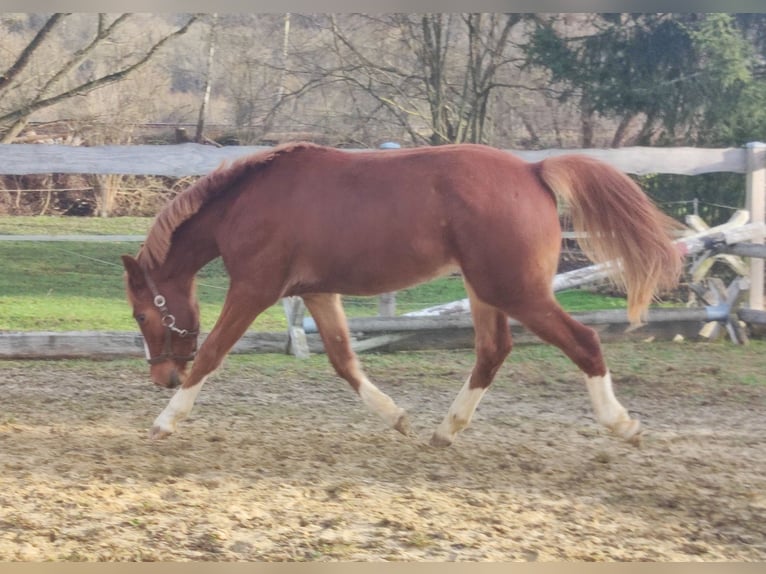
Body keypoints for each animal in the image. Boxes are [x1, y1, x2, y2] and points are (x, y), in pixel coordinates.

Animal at [121, 142, 684, 448]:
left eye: (141, 314)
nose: (161, 378)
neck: (247, 204)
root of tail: (533, 170)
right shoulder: (318, 292)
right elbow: (344, 360)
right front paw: (398, 418)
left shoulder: (254, 289)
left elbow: (212, 352)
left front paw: (164, 423)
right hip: (487, 290)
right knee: (492, 351)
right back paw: (445, 431)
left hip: (515, 290)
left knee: (583, 341)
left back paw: (623, 425)